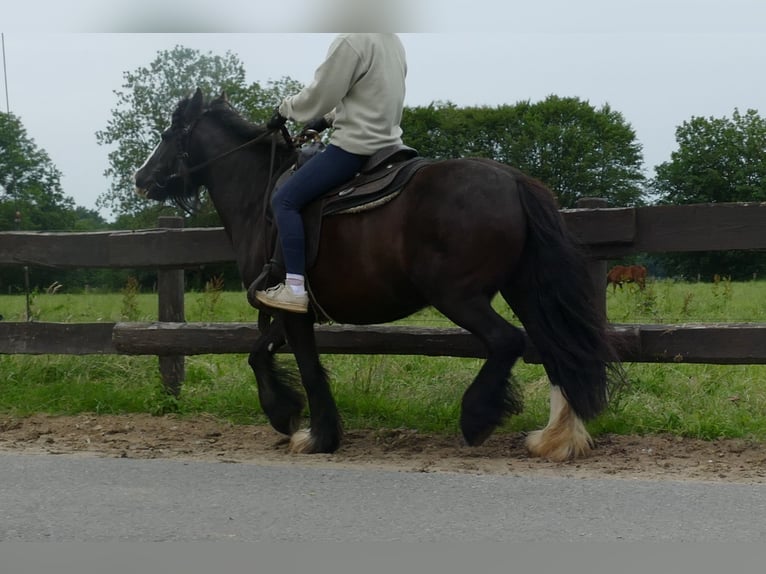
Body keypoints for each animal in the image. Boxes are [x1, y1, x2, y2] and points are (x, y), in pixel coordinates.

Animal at [136, 89, 624, 464]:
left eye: (167, 135)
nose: (142, 177)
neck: (260, 194)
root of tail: (512, 180)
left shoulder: (294, 313)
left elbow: (308, 368)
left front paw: (317, 436)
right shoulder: (285, 307)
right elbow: (258, 355)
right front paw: (284, 414)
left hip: (459, 296)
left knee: (508, 342)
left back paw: (477, 418)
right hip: (523, 289)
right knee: (555, 348)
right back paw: (557, 439)